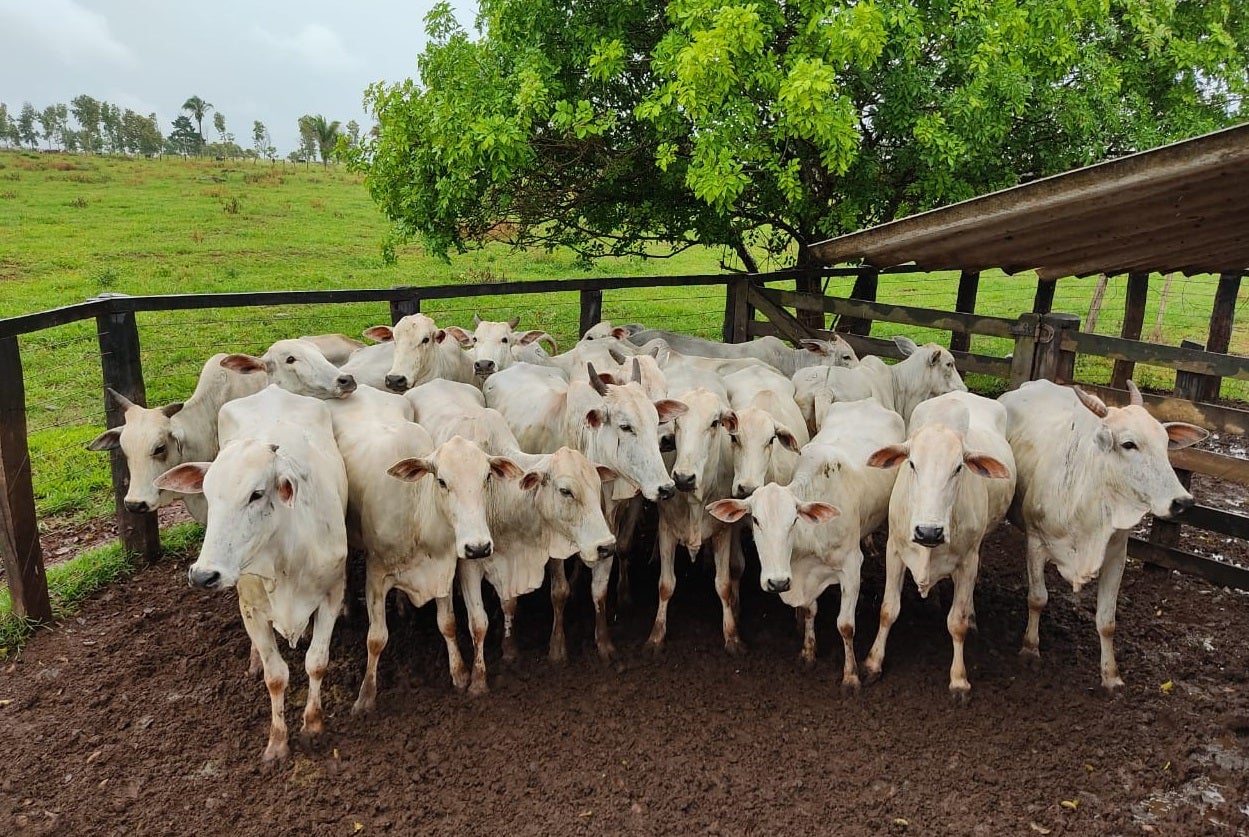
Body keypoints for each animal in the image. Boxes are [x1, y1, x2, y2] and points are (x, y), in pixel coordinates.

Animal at [153, 385, 349, 761]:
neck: (287, 558)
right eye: (208, 495)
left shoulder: (331, 595)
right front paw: (277, 741)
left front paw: (313, 726)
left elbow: (316, 662)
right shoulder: (251, 608)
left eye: (256, 494)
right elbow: (276, 676)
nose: (203, 576)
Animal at [707, 399, 905, 688]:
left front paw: (851, 676)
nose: (777, 582)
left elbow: (845, 625)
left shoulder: (851, 566)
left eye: (793, 520)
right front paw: (809, 652)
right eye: (755, 520)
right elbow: (810, 610)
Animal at [864, 391, 1016, 701]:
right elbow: (888, 610)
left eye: (958, 468)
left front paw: (959, 679)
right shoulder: (893, 551)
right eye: (911, 464)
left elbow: (956, 623)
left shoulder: (968, 560)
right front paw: (873, 663)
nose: (928, 532)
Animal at [999, 379, 1207, 691]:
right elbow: (1037, 598)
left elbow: (1107, 622)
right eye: (1129, 444)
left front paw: (1111, 676)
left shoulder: (1116, 556)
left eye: (1165, 443)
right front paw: (1030, 649)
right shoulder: (1035, 543)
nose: (1182, 502)